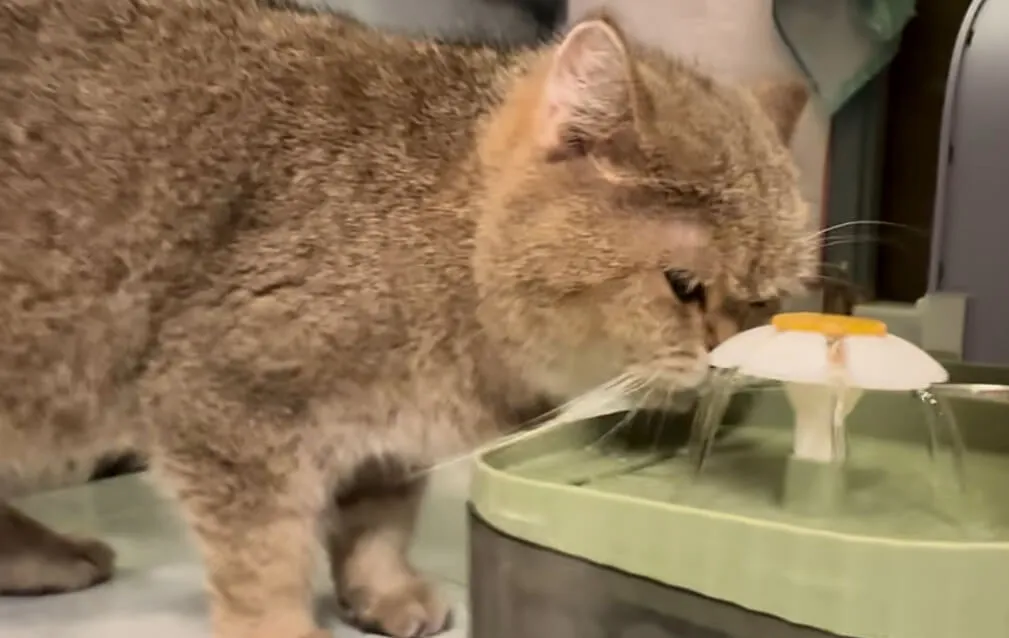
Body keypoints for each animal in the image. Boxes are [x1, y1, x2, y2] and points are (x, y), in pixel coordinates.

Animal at [0, 1, 811, 638]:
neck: (438, 234)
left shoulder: (386, 444)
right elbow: (265, 557)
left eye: (765, 299)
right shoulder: (224, 404)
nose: (730, 357)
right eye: (683, 286)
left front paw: (381, 591)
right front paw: (283, 628)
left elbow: (378, 525)